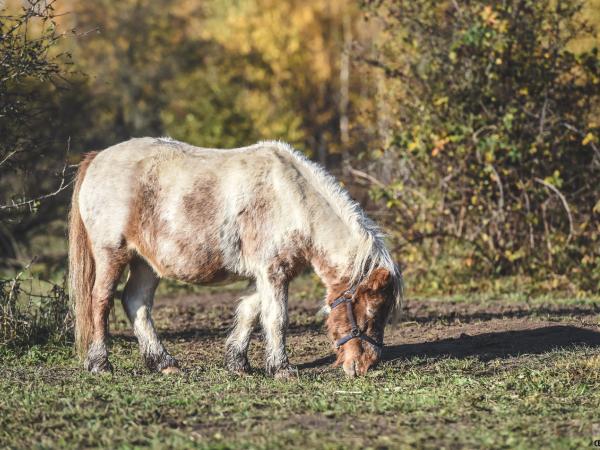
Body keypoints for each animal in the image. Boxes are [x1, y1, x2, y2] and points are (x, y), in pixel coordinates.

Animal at [70, 137, 404, 376]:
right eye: (372, 311)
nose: (366, 365)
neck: (292, 199)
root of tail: (97, 158)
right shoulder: (273, 272)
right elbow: (276, 318)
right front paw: (282, 368)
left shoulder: (265, 274)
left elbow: (249, 312)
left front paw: (238, 363)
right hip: (112, 253)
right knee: (101, 301)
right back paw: (100, 364)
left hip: (146, 263)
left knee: (136, 303)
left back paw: (164, 363)